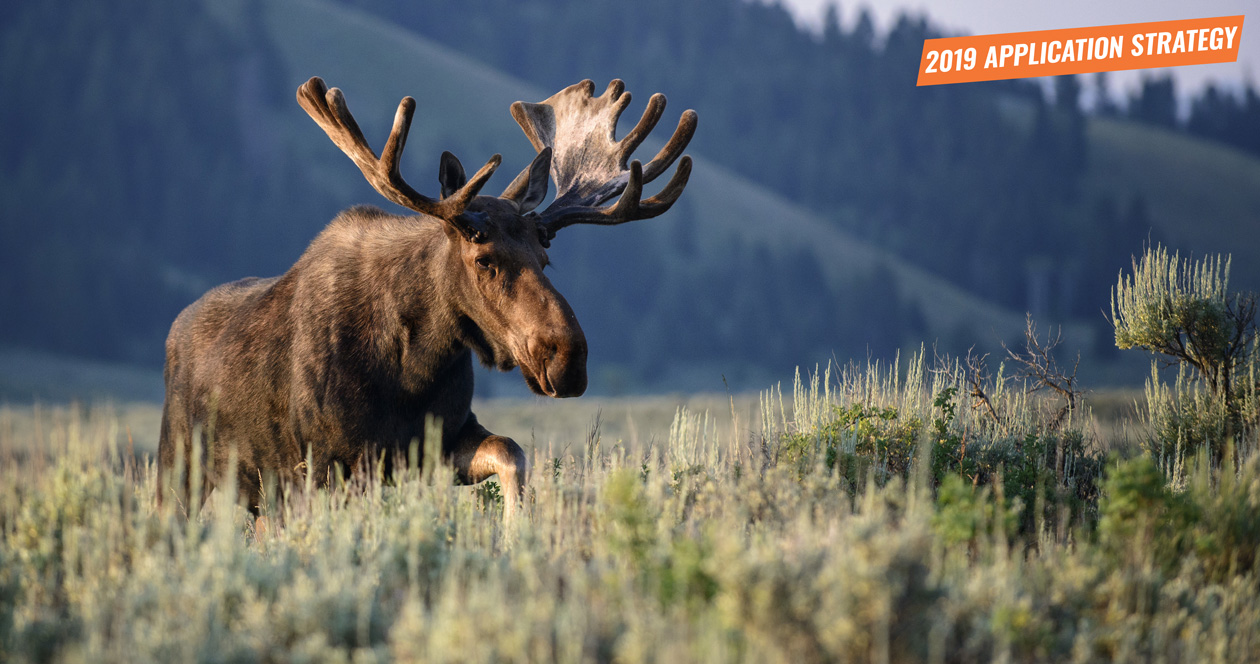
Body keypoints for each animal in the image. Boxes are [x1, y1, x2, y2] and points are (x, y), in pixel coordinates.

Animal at [157, 77, 695, 520]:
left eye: (545, 259)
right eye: (485, 260)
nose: (569, 357)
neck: (411, 364)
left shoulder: (442, 441)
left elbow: (513, 454)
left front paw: (516, 534)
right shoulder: (326, 462)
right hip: (180, 466)